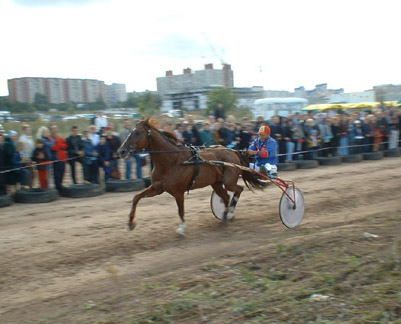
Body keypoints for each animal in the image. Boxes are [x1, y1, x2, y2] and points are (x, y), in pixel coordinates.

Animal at [116, 119, 266, 235]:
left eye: (137, 132)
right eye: (129, 131)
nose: (121, 151)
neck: (171, 161)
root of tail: (233, 151)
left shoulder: (178, 192)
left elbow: (180, 210)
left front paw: (182, 228)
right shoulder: (157, 188)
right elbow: (136, 197)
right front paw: (130, 223)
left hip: (228, 182)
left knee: (238, 189)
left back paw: (231, 212)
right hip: (216, 184)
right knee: (226, 197)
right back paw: (225, 216)